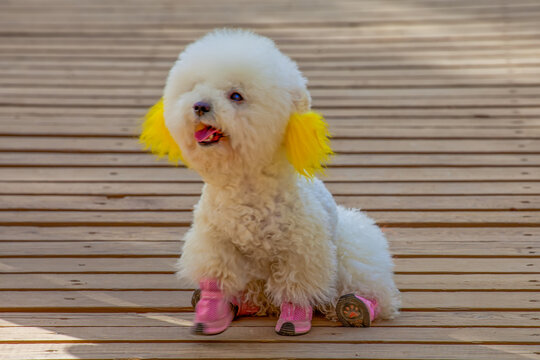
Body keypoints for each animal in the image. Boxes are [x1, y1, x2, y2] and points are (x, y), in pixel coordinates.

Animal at [140, 29, 400, 336]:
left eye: (236, 96)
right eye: (195, 87)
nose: (200, 105)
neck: (245, 180)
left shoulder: (301, 249)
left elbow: (295, 286)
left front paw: (294, 320)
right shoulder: (214, 241)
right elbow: (216, 278)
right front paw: (210, 315)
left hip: (351, 252)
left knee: (366, 290)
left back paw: (354, 309)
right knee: (254, 297)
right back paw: (242, 305)